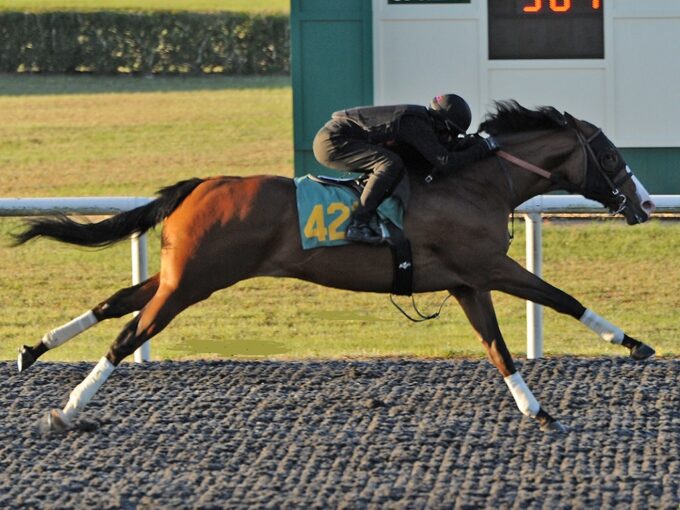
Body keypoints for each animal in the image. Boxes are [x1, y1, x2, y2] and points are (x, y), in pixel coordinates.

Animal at [13, 100, 656, 434]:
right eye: (609, 154)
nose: (646, 203)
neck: (475, 182)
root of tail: (201, 185)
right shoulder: (489, 267)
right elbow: (562, 298)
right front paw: (635, 344)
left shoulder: (466, 282)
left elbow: (498, 348)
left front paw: (537, 410)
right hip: (192, 282)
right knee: (128, 333)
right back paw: (70, 407)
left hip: (181, 275)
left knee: (114, 303)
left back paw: (32, 349)